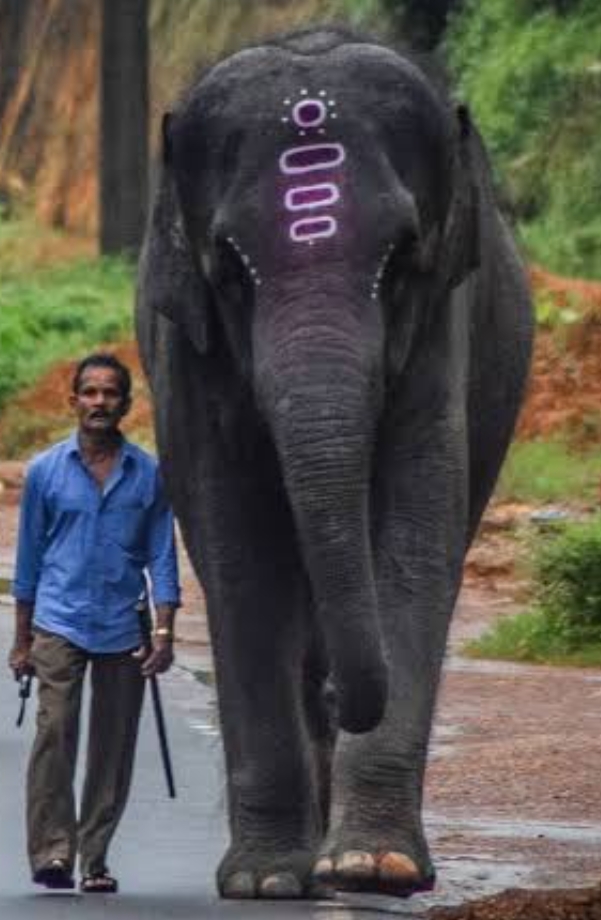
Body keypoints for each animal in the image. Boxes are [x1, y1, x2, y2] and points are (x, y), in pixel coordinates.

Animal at [135, 27, 528, 900]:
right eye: (229, 267)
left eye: (403, 257)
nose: (344, 699)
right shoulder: (190, 351)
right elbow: (238, 547)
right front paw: (266, 882)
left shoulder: (442, 330)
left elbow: (413, 532)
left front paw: (373, 869)